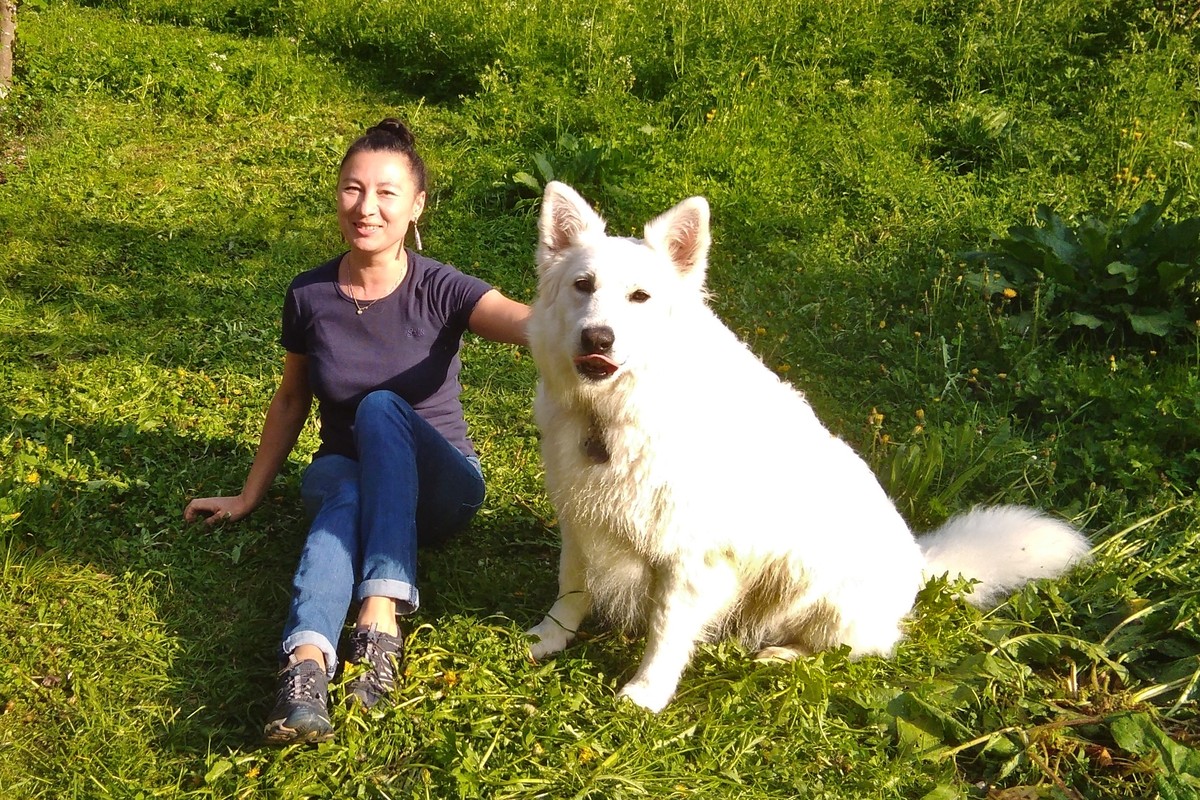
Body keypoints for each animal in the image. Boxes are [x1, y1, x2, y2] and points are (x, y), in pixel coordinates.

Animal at [525, 183, 1089, 714]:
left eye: (639, 297)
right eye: (582, 286)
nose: (597, 338)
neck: (613, 413)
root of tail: (920, 568)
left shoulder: (690, 559)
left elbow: (666, 630)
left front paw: (646, 694)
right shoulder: (581, 518)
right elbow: (571, 586)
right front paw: (549, 638)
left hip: (822, 597)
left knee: (849, 650)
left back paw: (780, 657)